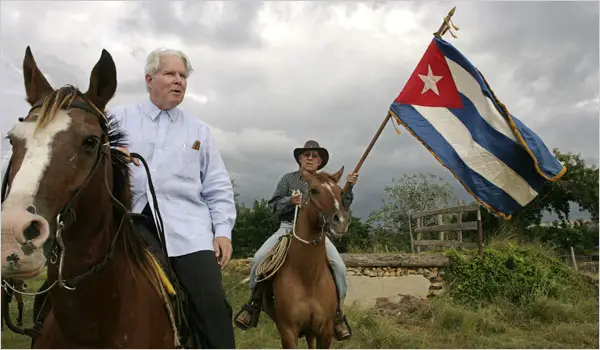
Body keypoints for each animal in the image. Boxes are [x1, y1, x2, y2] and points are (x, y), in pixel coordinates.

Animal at [262, 168, 352, 348]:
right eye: (314, 191)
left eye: (340, 192)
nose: (341, 221)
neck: (308, 277)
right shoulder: (288, 332)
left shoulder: (326, 331)